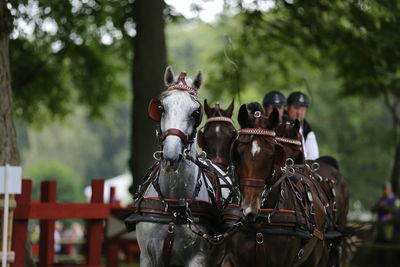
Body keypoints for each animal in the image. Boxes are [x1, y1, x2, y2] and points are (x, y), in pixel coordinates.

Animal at [135, 66, 225, 266]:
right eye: (161, 108)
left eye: (195, 113)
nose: (171, 155)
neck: (174, 208)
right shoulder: (147, 257)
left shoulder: (197, 258)